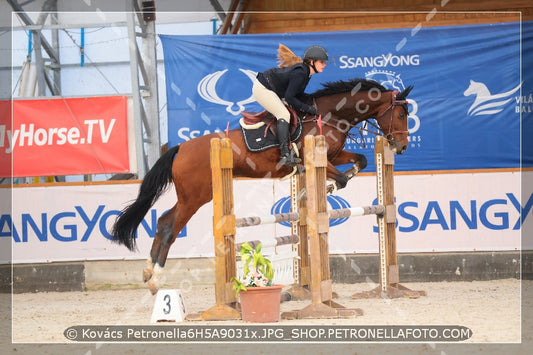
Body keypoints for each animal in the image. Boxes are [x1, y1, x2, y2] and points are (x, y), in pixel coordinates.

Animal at [111, 78, 412, 294]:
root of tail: (181, 148)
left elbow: (360, 161)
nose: (401, 146)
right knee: (171, 227)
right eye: (400, 114)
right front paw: (315, 191)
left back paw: (148, 273)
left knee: (163, 220)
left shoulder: (335, 155)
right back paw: (155, 279)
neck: (329, 115)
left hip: (193, 195)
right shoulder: (318, 158)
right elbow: (339, 179)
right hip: (196, 196)